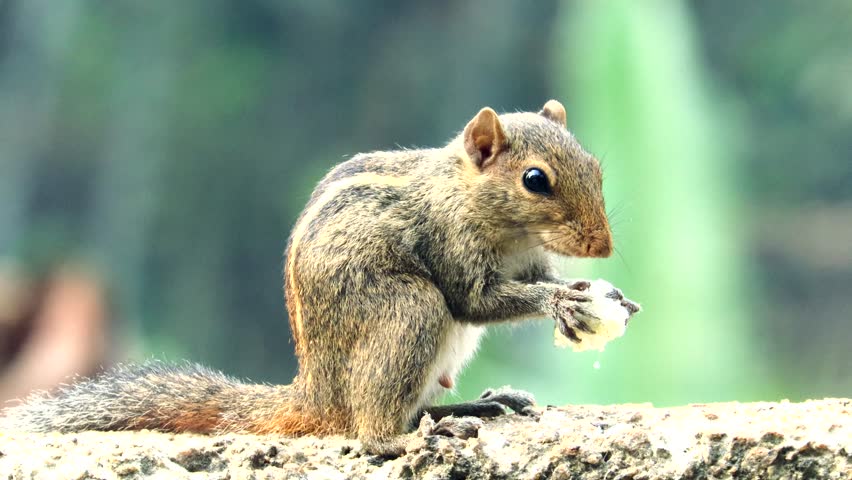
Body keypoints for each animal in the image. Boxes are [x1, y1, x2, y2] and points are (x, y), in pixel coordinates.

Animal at [0, 100, 638, 456]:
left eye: (595, 166)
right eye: (535, 180)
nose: (604, 247)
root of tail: (316, 395)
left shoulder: (526, 259)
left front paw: (607, 298)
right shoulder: (451, 246)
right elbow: (476, 300)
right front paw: (562, 301)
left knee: (413, 408)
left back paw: (474, 408)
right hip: (410, 311)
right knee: (370, 425)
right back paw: (410, 437)